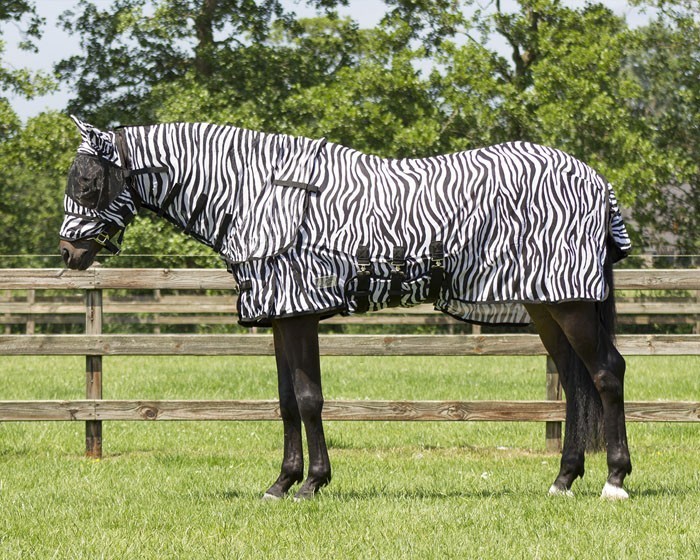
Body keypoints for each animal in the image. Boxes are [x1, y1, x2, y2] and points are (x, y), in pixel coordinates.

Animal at [60, 116, 633, 500]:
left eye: (87, 183)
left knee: (606, 373)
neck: (257, 192)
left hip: (571, 306)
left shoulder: (298, 315)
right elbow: (286, 401)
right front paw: (281, 483)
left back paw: (615, 480)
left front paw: (311, 484)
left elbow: (309, 398)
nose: (69, 254)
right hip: (546, 305)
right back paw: (563, 480)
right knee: (575, 383)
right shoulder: (280, 317)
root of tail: (596, 181)